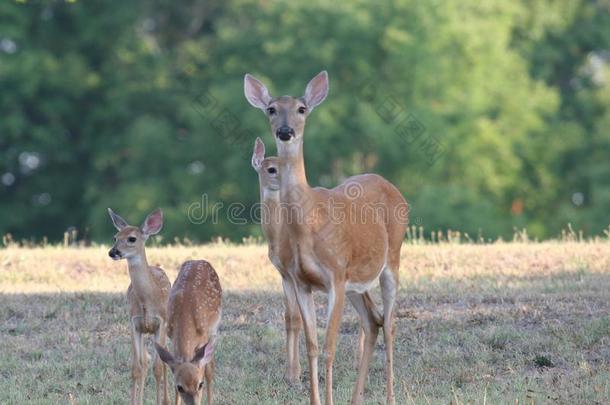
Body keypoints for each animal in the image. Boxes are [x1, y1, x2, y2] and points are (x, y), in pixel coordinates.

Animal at [107, 208, 171, 404]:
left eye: (132, 238)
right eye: (115, 237)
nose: (113, 252)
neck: (146, 299)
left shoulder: (160, 323)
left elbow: (158, 368)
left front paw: (160, 402)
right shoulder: (134, 324)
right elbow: (137, 368)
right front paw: (136, 401)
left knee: (166, 360)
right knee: (145, 360)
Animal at [154, 258, 221, 404]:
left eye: (200, 384)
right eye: (180, 387)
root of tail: (198, 260)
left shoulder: (203, 338)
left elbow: (205, 370)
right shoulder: (171, 336)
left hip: (213, 328)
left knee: (210, 369)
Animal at [243, 72, 408, 404]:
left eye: (302, 108)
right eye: (271, 109)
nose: (285, 131)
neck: (310, 220)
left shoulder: (335, 275)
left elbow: (330, 347)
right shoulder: (302, 280)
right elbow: (313, 346)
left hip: (392, 259)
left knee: (389, 324)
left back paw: (390, 396)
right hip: (357, 282)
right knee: (372, 321)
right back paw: (357, 398)